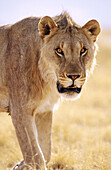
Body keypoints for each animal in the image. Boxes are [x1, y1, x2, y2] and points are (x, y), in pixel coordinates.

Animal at [0, 12, 100, 169]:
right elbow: (35, 156)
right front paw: (25, 164)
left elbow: (45, 152)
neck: (47, 81)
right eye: (59, 51)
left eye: (83, 50)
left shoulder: (44, 111)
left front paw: (20, 165)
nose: (74, 76)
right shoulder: (20, 111)